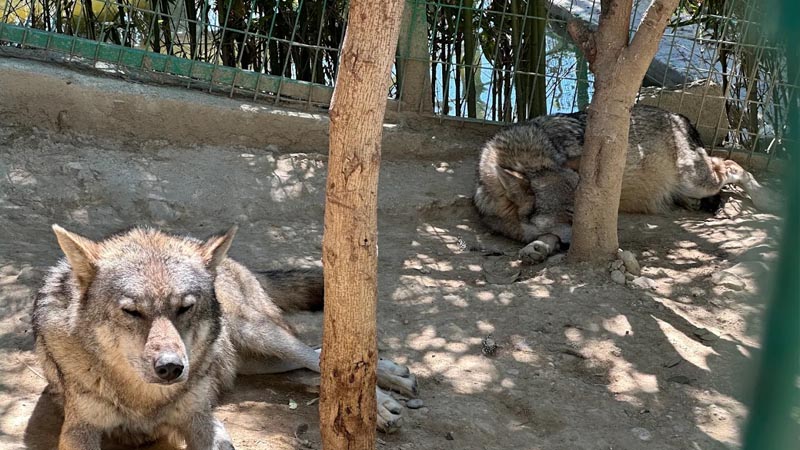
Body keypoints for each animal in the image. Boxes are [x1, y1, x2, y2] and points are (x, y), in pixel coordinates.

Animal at [32, 225, 418, 450]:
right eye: (132, 312)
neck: (145, 400)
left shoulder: (201, 419)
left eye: (185, 307)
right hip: (259, 361)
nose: (171, 368)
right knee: (320, 364)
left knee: (318, 355)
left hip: (260, 334)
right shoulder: (79, 430)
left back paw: (385, 396)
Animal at [473, 104, 779, 261]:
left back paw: (765, 198)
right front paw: (539, 246)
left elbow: (551, 235)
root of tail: (677, 116)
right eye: (571, 213)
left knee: (731, 166)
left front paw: (542, 245)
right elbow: (548, 234)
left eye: (587, 210)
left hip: (696, 178)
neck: (530, 157)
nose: (610, 241)